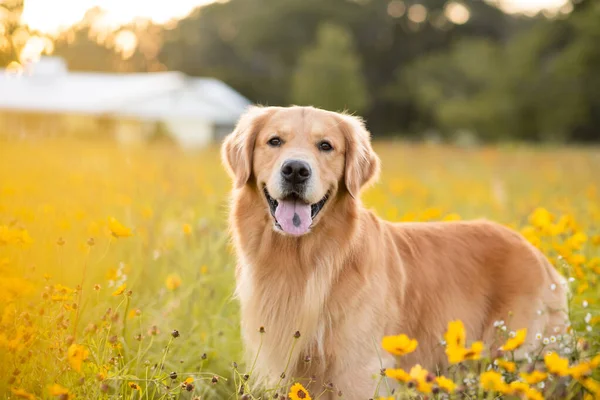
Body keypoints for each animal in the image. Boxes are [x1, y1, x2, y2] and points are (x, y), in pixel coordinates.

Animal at [223, 106, 568, 400]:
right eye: (274, 141)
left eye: (326, 146)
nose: (296, 169)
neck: (306, 260)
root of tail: (538, 255)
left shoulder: (360, 370)